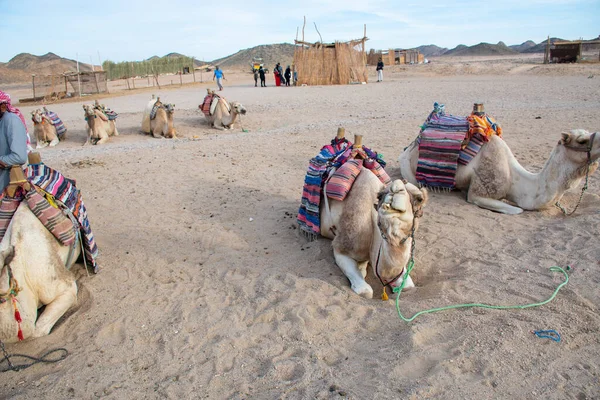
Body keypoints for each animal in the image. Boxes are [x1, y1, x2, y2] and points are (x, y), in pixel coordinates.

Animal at [322, 170, 428, 298]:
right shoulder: (342, 247)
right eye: (380, 195)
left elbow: (407, 286)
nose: (396, 187)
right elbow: (365, 291)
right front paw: (362, 271)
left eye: (420, 198)